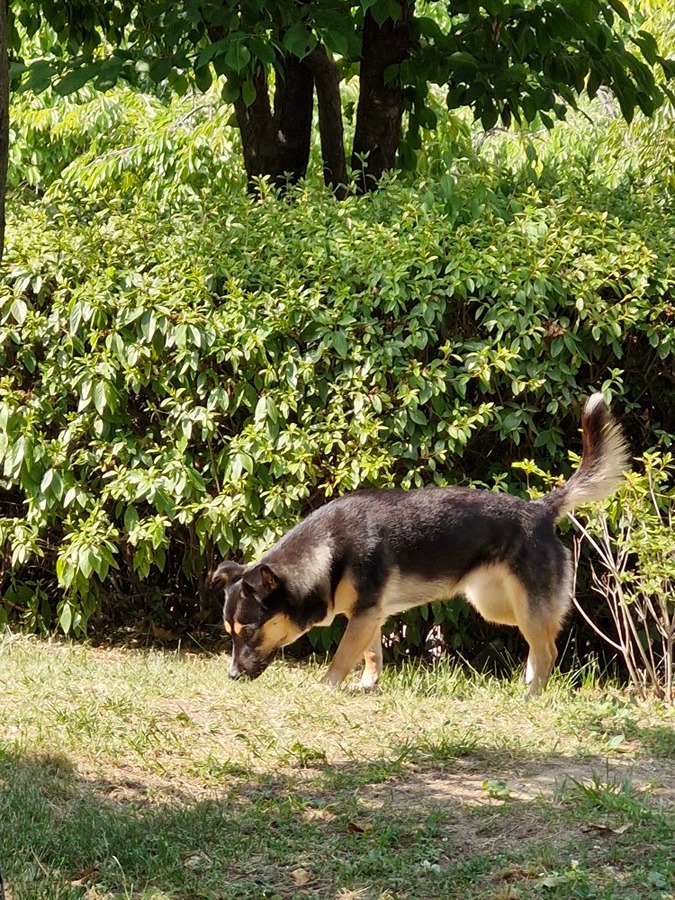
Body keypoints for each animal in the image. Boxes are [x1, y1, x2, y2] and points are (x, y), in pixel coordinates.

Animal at [214, 390, 632, 692]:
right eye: (229, 634)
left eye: (249, 631)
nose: (231, 676)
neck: (328, 549)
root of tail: (542, 509)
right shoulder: (369, 615)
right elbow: (371, 655)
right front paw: (367, 686)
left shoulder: (363, 616)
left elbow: (342, 656)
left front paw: (326, 688)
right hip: (499, 606)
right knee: (542, 641)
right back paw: (529, 681)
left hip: (524, 606)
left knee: (548, 648)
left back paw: (532, 695)